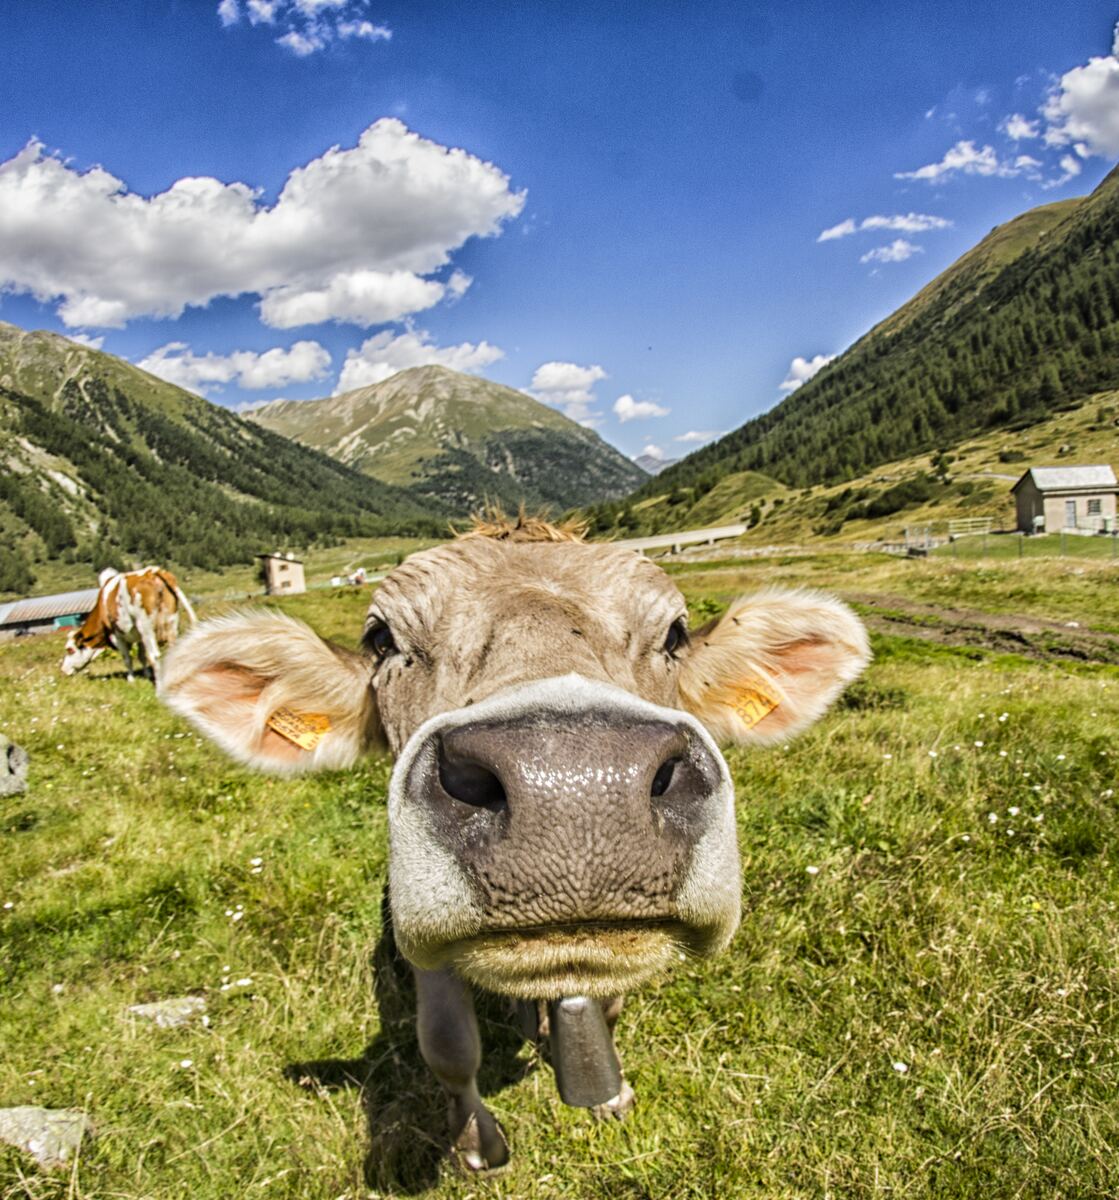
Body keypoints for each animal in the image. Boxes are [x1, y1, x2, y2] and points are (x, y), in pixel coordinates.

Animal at [62, 566, 197, 683]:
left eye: (70, 650)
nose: (63, 669)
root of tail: (153, 571)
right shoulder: (139, 636)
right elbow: (141, 656)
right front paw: (146, 675)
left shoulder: (118, 636)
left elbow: (127, 659)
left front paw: (131, 680)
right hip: (171, 621)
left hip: (146, 627)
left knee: (154, 656)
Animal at [159, 514, 869, 1171]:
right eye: (382, 639)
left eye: (674, 634)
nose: (577, 783)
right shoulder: (425, 944)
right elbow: (449, 1046)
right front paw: (477, 1145)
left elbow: (609, 1007)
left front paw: (608, 1092)